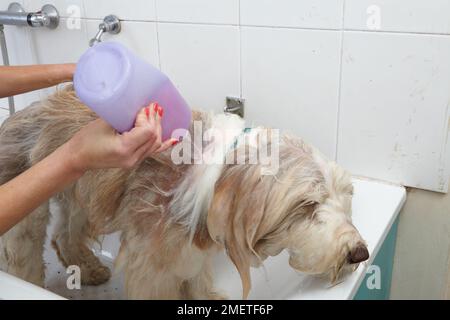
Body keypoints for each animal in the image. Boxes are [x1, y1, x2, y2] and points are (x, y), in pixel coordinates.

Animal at [0, 86, 370, 298]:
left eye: (345, 195)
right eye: (307, 205)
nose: (360, 254)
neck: (220, 172)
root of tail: (22, 110)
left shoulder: (192, 249)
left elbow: (197, 282)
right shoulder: (152, 263)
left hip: (79, 192)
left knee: (64, 235)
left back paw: (89, 270)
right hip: (28, 205)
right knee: (24, 253)